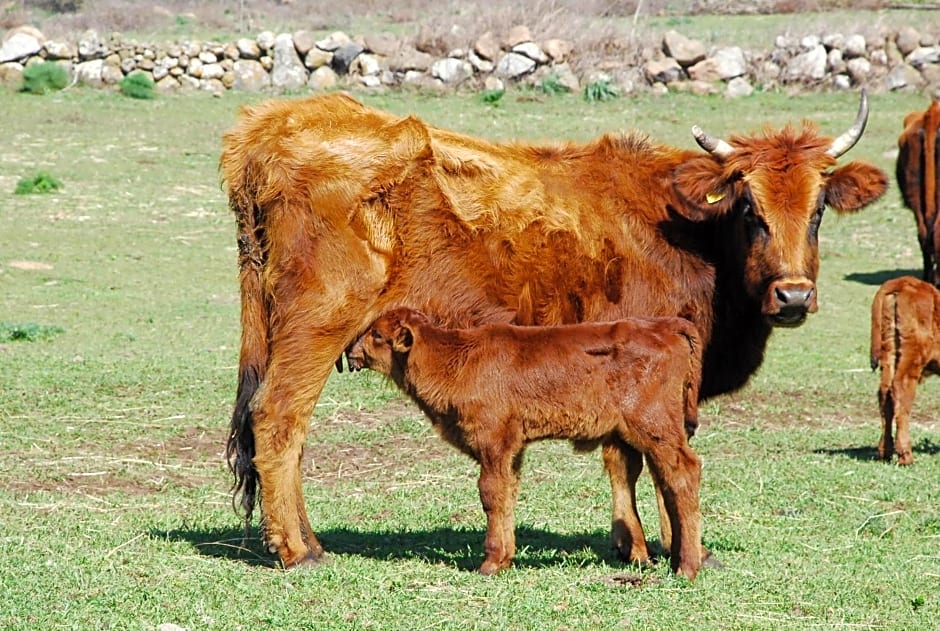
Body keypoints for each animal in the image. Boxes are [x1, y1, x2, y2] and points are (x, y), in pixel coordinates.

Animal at [346, 308, 704, 580]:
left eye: (376, 334)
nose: (350, 352)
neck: (454, 359)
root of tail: (665, 325)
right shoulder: (512, 449)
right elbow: (508, 493)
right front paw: (505, 558)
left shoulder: (492, 442)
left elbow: (490, 493)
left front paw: (490, 563)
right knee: (665, 479)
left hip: (655, 428)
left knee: (683, 472)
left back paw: (686, 567)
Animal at [872, 276, 936, 464]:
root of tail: (904, 281)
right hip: (912, 356)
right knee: (901, 390)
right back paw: (905, 455)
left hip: (890, 352)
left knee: (885, 394)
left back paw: (885, 451)